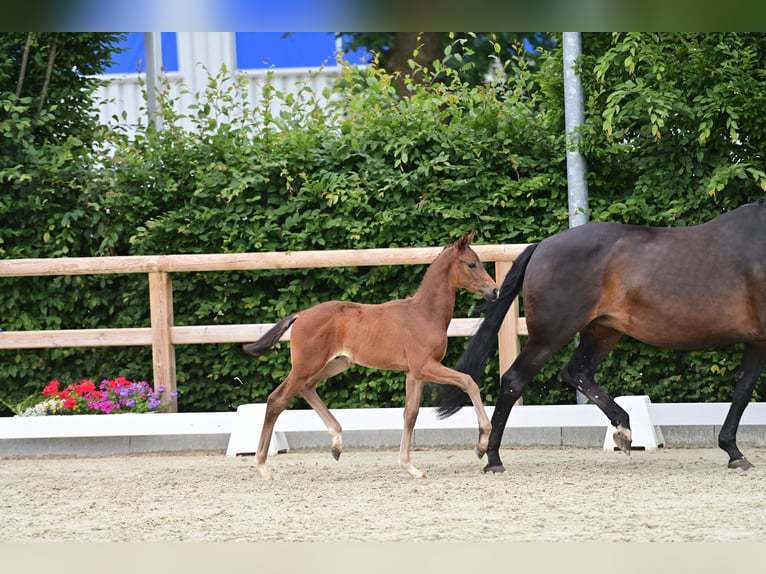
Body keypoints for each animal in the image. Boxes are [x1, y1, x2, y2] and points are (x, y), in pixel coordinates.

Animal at [243, 234, 500, 482]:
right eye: (472, 264)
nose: (495, 291)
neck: (424, 313)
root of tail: (301, 314)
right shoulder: (425, 366)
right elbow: (468, 382)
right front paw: (481, 445)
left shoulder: (413, 373)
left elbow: (410, 414)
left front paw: (410, 468)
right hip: (306, 365)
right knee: (277, 400)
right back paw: (263, 467)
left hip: (335, 364)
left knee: (307, 388)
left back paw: (336, 444)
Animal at [438, 200, 766, 474]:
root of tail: (542, 246)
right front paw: (734, 451)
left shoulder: (758, 340)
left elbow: (742, 391)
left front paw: (733, 451)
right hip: (552, 334)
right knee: (514, 380)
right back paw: (493, 457)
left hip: (602, 331)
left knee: (577, 372)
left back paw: (623, 429)